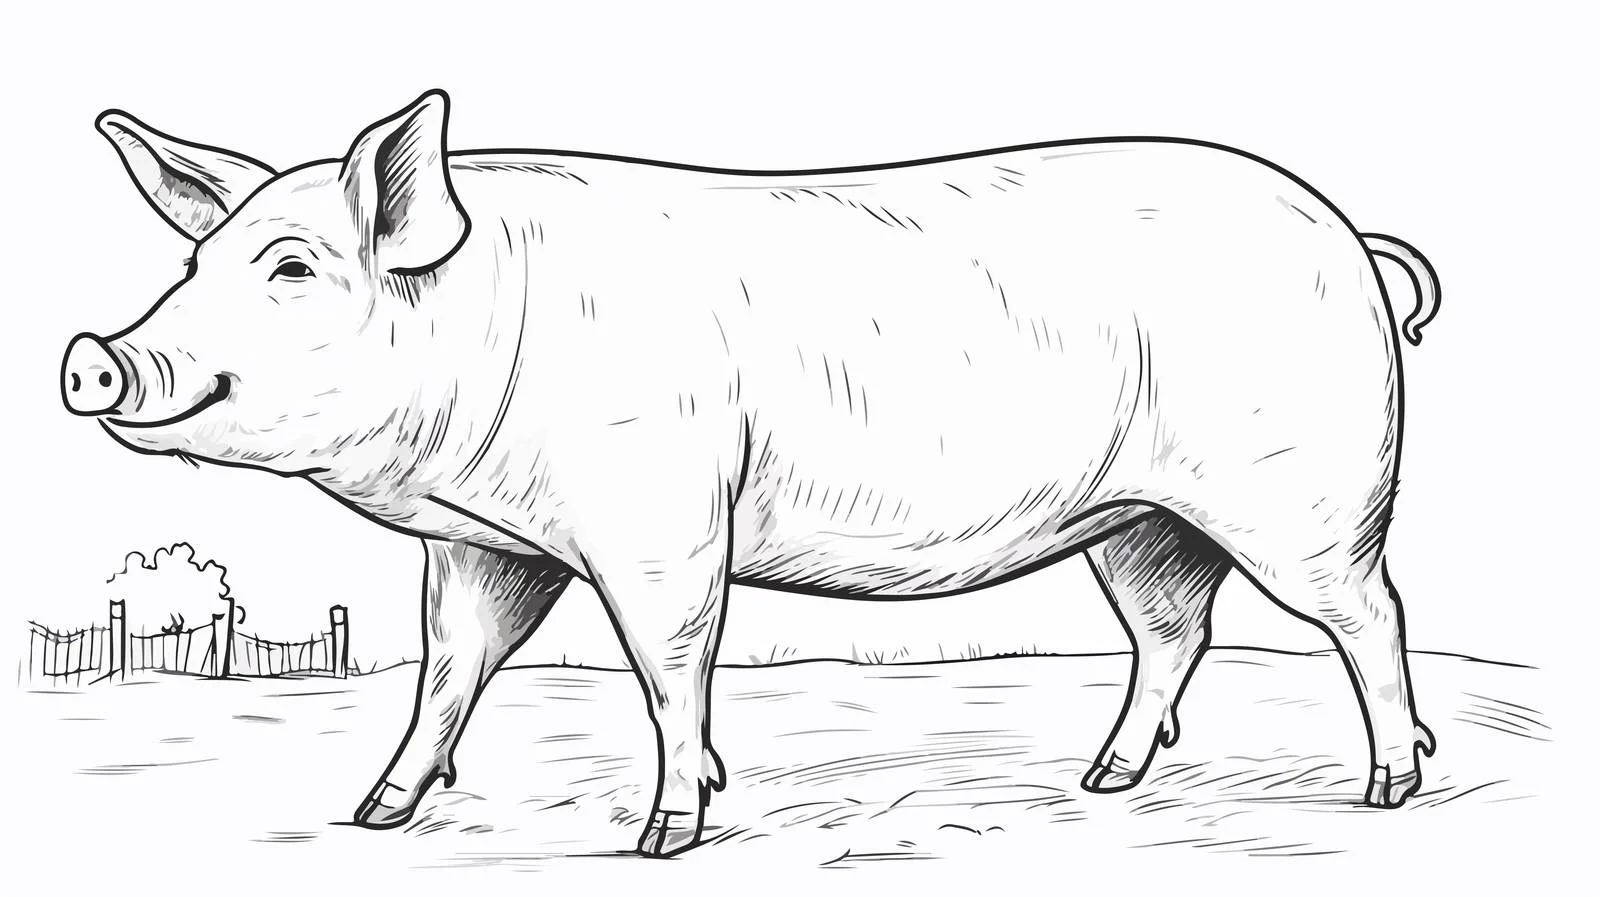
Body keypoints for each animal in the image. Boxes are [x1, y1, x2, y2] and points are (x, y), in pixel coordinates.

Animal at [63, 90, 1442, 856]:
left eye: (293, 267)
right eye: (196, 264)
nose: (92, 355)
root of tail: (1350, 239)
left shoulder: (663, 518)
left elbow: (671, 663)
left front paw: (665, 837)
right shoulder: (483, 544)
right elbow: (452, 664)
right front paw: (375, 814)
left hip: (1308, 494)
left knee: (1371, 613)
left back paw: (1388, 791)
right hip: (1139, 518)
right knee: (1174, 626)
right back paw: (1101, 779)